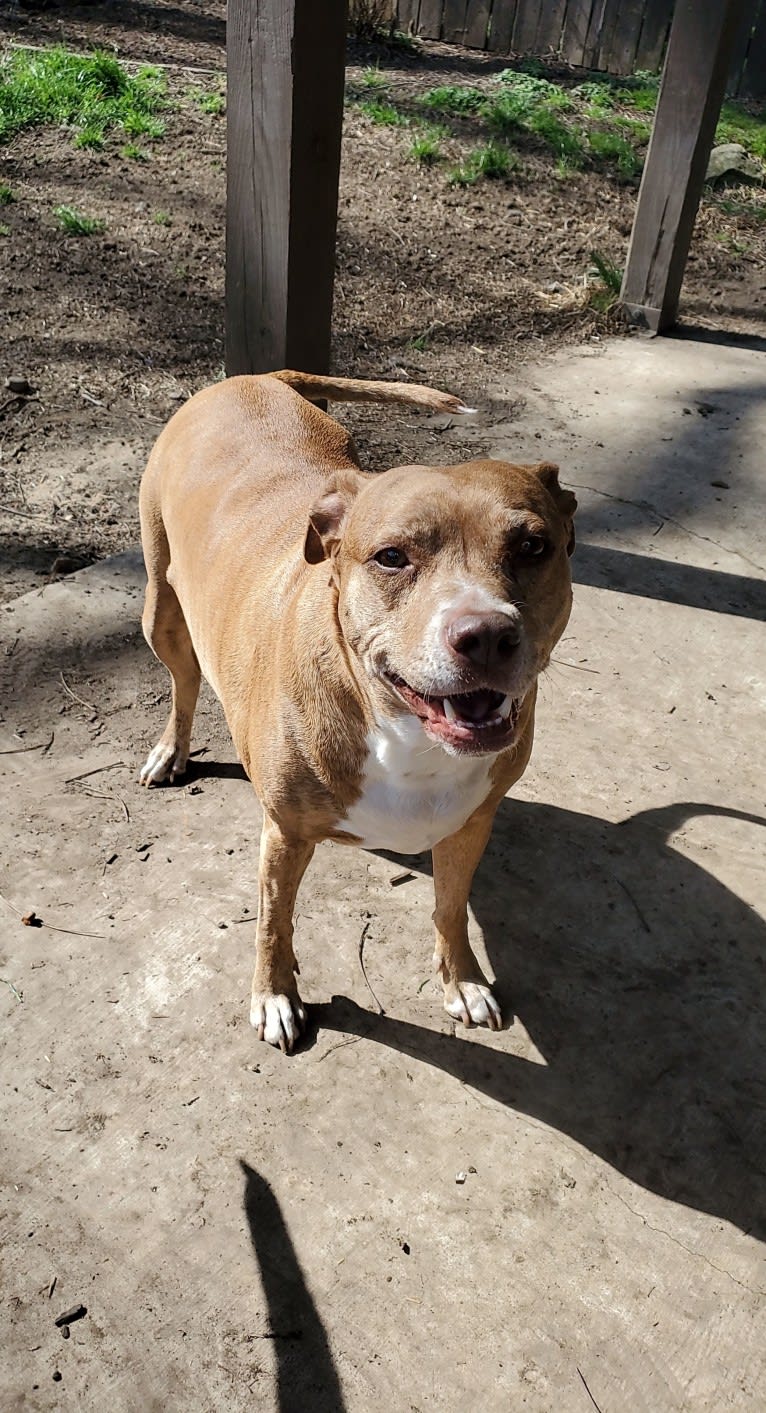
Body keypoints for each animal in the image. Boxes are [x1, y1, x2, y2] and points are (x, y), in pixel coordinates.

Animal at [139, 373, 576, 1051]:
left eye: (533, 546)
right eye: (392, 556)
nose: (485, 635)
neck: (406, 739)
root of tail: (253, 378)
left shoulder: (470, 824)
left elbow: (450, 906)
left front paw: (463, 980)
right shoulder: (284, 836)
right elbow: (273, 922)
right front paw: (274, 996)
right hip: (160, 608)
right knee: (183, 681)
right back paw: (171, 750)